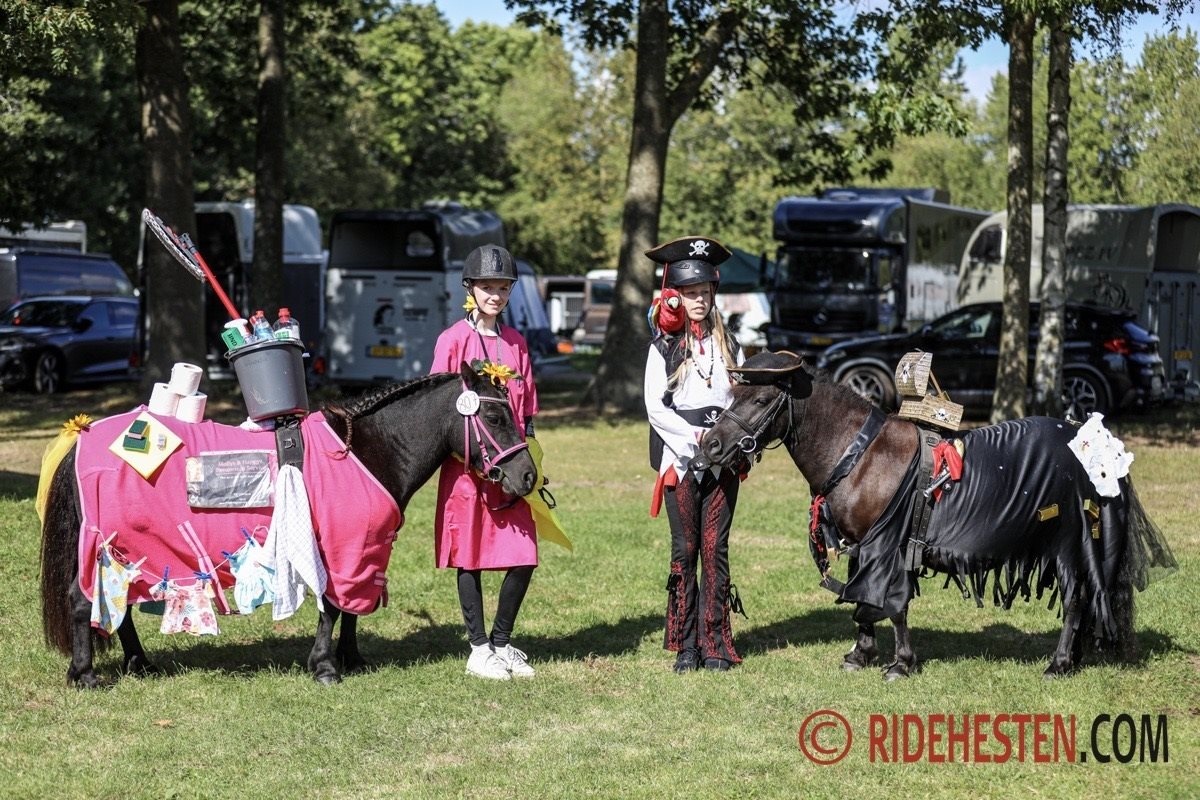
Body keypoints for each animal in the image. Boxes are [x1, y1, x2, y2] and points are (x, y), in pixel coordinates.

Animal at [39, 363, 536, 688]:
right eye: (495, 417)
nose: (529, 476)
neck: (363, 450)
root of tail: (83, 436)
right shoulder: (343, 545)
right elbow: (333, 606)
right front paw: (325, 667)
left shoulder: (362, 549)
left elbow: (351, 605)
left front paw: (352, 658)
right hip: (107, 545)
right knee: (83, 601)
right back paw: (85, 675)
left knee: (118, 604)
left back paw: (140, 663)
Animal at [692, 351, 1176, 679]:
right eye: (735, 393)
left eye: (760, 398)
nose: (709, 446)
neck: (862, 455)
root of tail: (1097, 445)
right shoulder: (862, 546)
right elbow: (863, 602)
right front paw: (859, 655)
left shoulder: (888, 548)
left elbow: (893, 606)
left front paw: (900, 664)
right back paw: (1071, 660)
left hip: (1071, 547)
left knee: (1076, 601)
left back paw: (1058, 664)